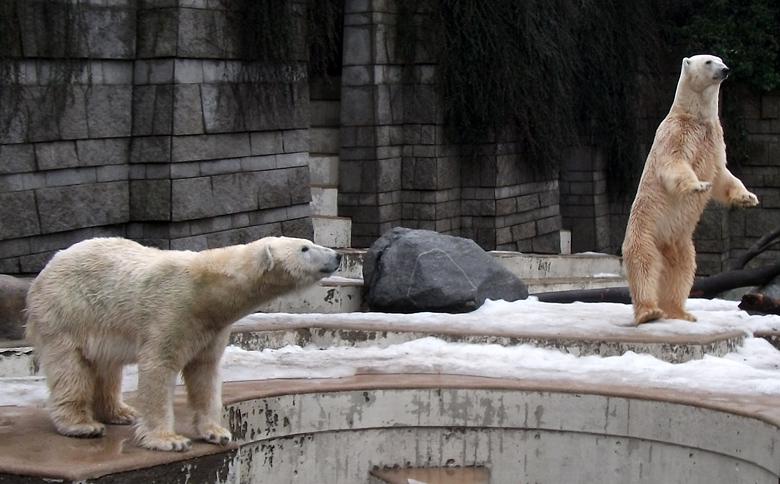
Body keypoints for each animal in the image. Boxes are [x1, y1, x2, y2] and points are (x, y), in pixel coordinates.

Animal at [25, 236, 342, 452]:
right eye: (304, 248)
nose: (337, 255)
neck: (206, 293)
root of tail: (49, 265)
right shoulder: (170, 311)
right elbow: (158, 368)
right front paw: (169, 440)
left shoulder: (211, 328)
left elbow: (205, 372)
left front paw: (216, 432)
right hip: (67, 312)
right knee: (70, 368)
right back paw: (82, 424)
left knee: (107, 367)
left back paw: (121, 412)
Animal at [624, 54, 760, 328]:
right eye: (708, 61)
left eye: (721, 59)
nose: (725, 70)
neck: (695, 117)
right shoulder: (677, 133)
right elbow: (675, 162)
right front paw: (698, 186)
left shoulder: (715, 139)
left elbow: (722, 176)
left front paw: (747, 198)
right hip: (645, 232)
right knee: (644, 264)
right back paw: (649, 312)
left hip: (681, 244)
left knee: (682, 273)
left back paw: (680, 312)